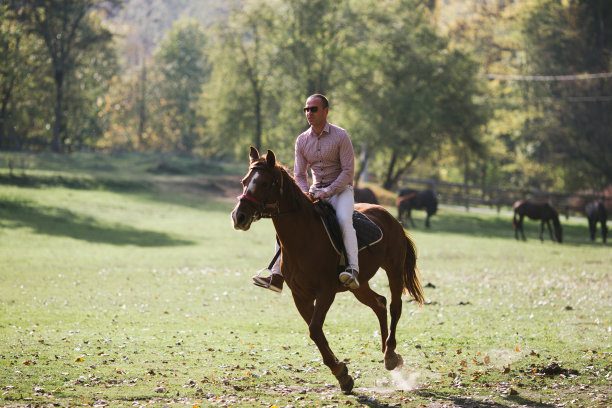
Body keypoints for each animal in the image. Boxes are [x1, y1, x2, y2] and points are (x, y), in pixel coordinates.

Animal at [231, 148, 426, 394]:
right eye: (244, 181)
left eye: (265, 183)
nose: (239, 217)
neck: (304, 237)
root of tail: (392, 218)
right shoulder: (301, 296)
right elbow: (316, 332)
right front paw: (342, 375)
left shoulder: (326, 292)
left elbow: (315, 330)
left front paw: (341, 372)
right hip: (358, 285)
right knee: (379, 304)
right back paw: (386, 353)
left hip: (394, 270)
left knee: (394, 306)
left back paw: (390, 354)